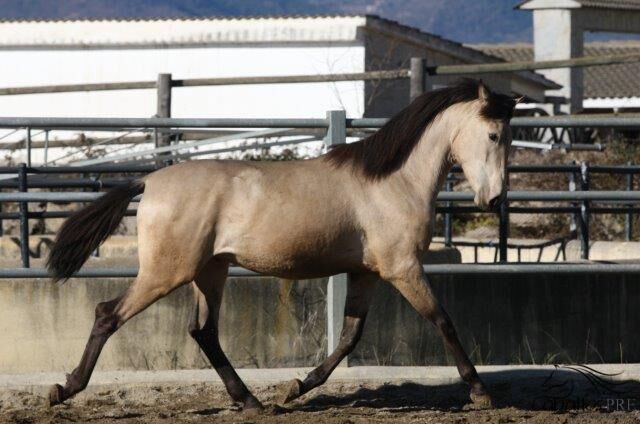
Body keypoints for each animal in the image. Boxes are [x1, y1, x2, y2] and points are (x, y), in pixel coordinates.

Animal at [46, 78, 516, 410]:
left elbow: (349, 337)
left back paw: (252, 402)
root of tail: (149, 181)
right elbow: (443, 321)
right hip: (167, 271)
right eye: (495, 135)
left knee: (204, 331)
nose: (494, 200)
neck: (394, 181)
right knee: (108, 314)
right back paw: (64, 389)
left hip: (210, 271)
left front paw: (296, 388)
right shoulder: (402, 267)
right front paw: (481, 393)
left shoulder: (366, 272)